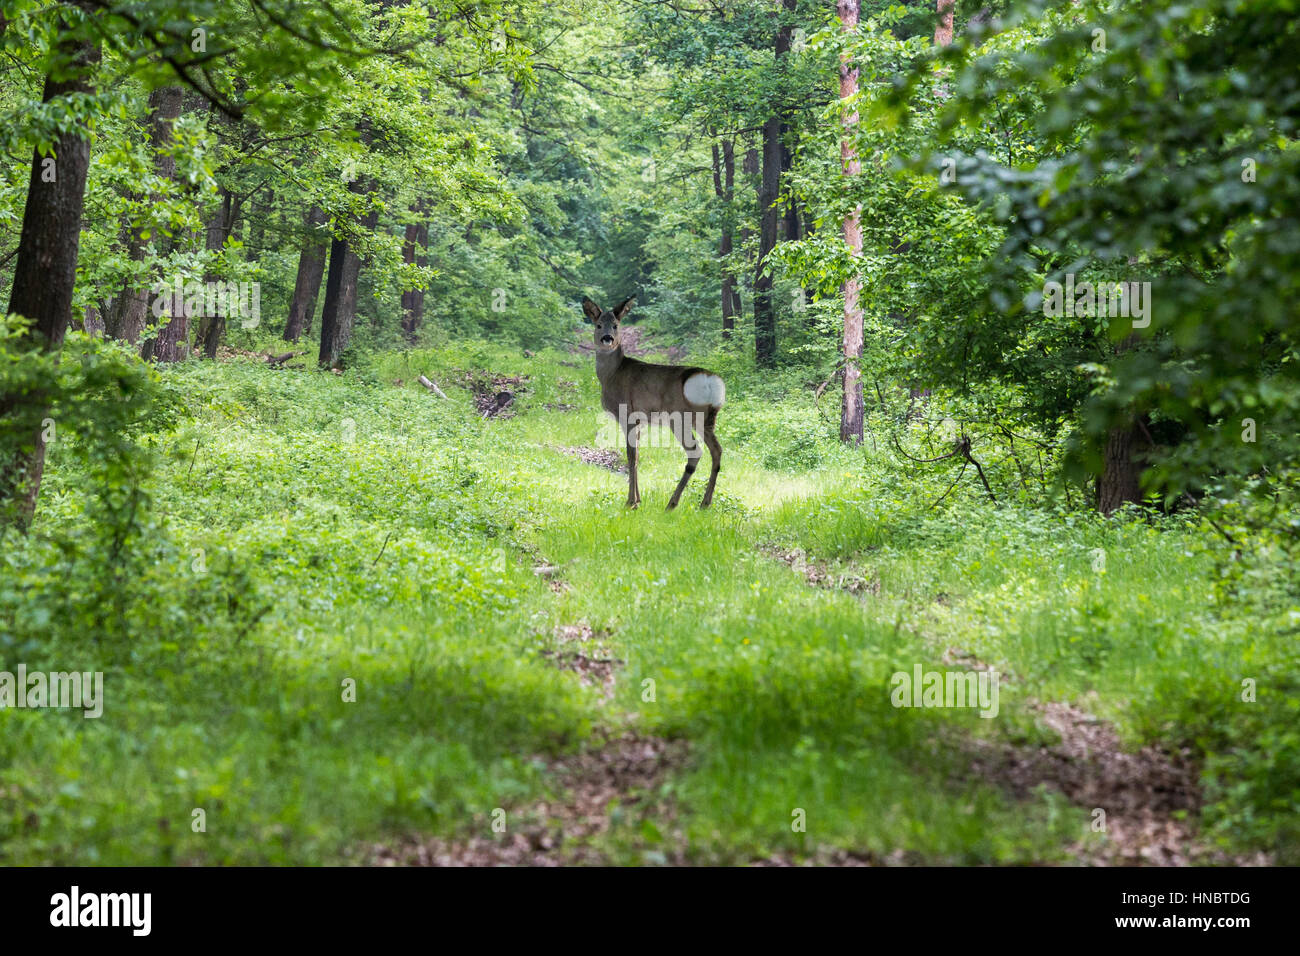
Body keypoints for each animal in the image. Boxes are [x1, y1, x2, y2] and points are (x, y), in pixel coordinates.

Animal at [583, 295, 725, 510]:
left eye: (616, 325)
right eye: (598, 325)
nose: (607, 338)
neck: (612, 375)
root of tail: (712, 383)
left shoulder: (627, 413)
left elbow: (631, 456)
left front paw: (630, 502)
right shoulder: (640, 420)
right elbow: (637, 455)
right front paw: (638, 500)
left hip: (680, 418)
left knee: (695, 452)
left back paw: (672, 503)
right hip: (706, 420)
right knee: (716, 451)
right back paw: (705, 503)